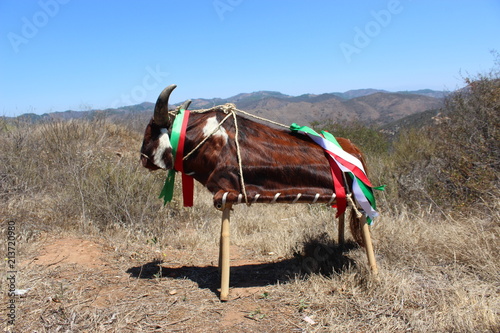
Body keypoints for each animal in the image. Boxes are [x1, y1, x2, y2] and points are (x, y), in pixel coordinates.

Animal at [141, 84, 378, 300]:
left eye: (150, 132)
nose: (142, 158)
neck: (209, 138)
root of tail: (354, 150)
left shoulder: (225, 192)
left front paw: (224, 292)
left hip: (358, 198)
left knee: (363, 224)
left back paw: (374, 271)